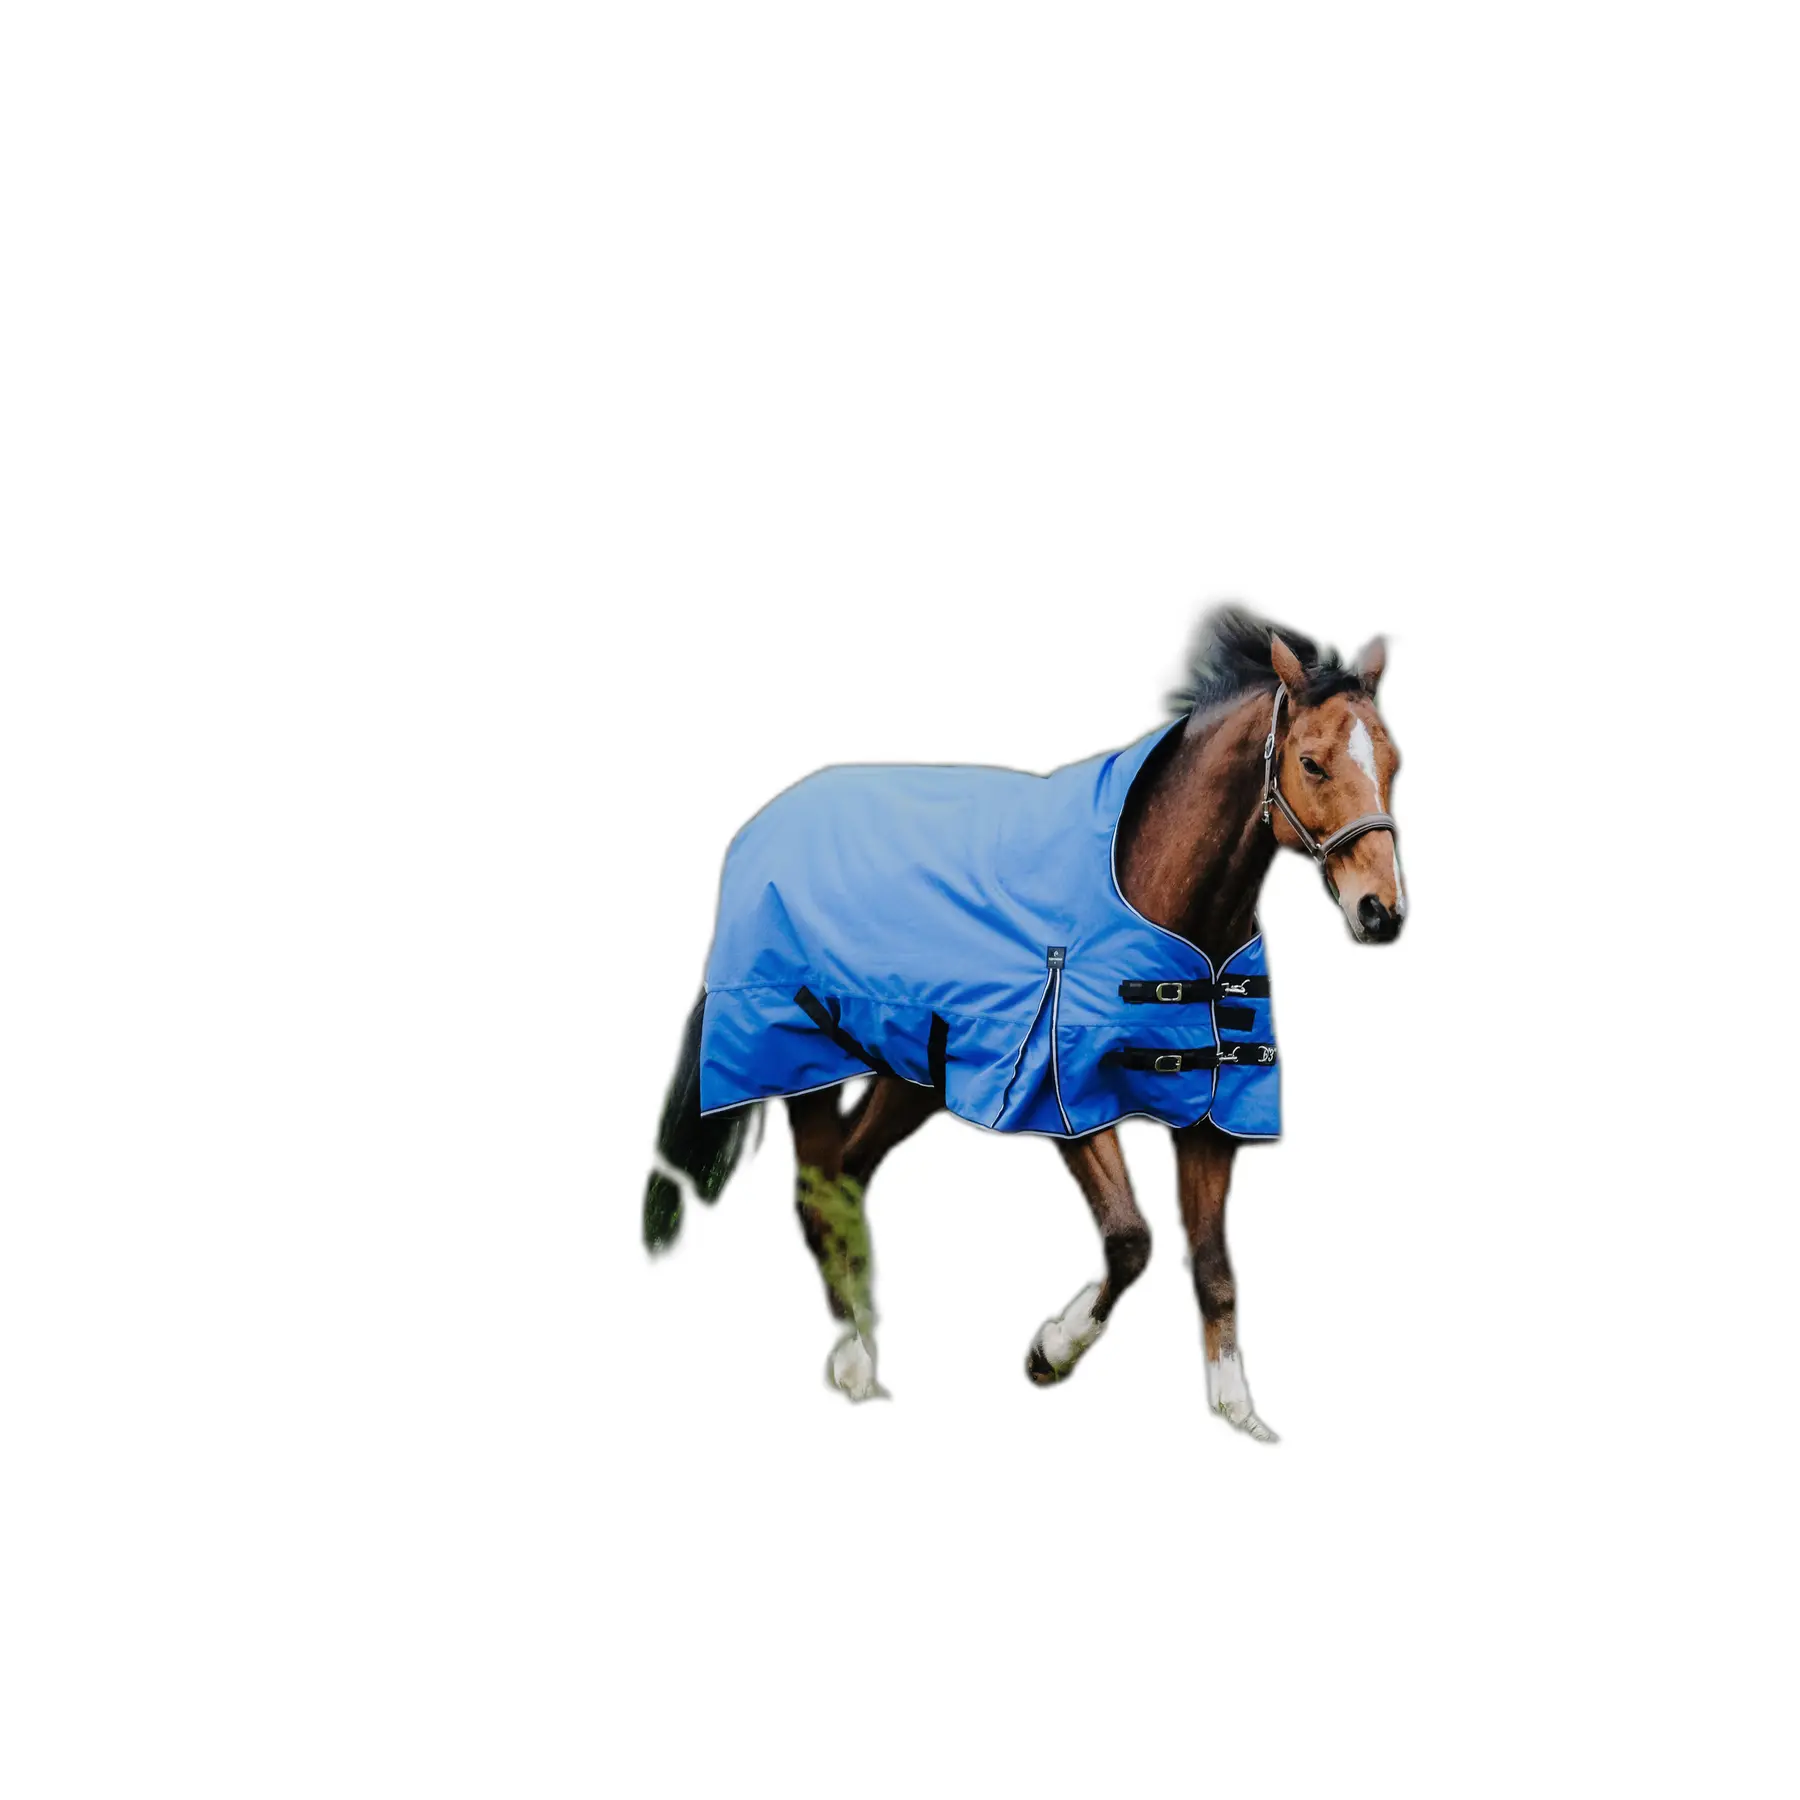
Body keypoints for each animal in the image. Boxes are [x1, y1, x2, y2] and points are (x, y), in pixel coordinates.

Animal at [641, 607, 1405, 1439]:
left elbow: (1213, 1267)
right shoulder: (1063, 1094)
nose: (1381, 912)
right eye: (1313, 763)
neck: (1153, 886)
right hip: (803, 1063)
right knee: (821, 1193)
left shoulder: (1210, 1112)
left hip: (911, 1076)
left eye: (1393, 762)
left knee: (846, 1175)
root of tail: (759, 831)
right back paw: (855, 1362)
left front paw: (1238, 1411)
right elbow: (1130, 1240)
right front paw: (1051, 1351)